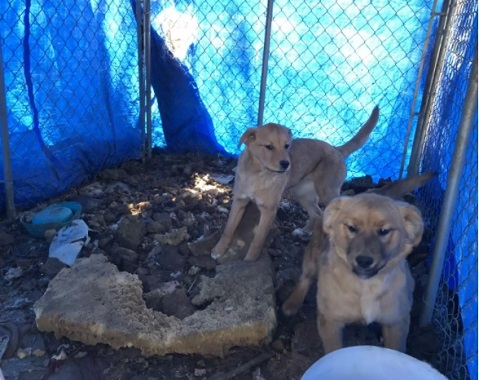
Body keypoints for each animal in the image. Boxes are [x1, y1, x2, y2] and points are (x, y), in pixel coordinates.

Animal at [212, 106, 380, 262]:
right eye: (269, 147)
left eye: (287, 146)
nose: (286, 164)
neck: (257, 174)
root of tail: (337, 149)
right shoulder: (239, 201)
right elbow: (228, 229)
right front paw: (218, 250)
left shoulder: (269, 211)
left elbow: (257, 240)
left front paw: (249, 261)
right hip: (302, 194)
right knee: (317, 214)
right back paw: (304, 231)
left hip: (327, 192)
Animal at [284, 191, 426, 354]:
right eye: (352, 227)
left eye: (384, 231)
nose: (364, 260)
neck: (366, 286)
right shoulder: (330, 321)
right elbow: (333, 351)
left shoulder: (397, 323)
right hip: (312, 257)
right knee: (305, 278)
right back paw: (291, 304)